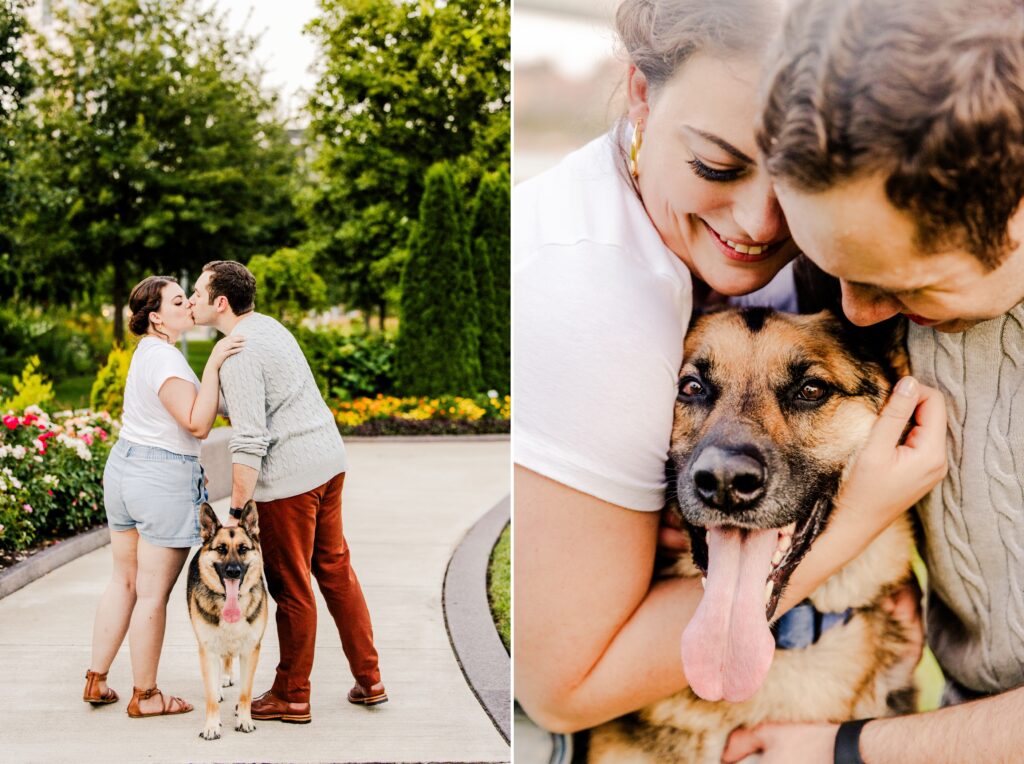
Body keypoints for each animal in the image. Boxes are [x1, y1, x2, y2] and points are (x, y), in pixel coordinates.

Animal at [186, 499, 268, 737]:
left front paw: (244, 719)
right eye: (221, 549)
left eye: (243, 549)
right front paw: (212, 725)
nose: (233, 571)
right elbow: (211, 697)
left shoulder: (251, 650)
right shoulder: (207, 650)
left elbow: (245, 693)